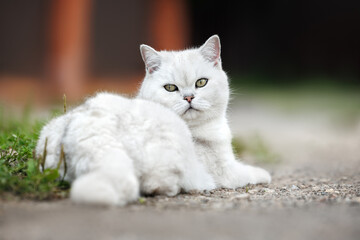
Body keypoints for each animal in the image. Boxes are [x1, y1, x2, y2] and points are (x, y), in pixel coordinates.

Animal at [138, 34, 270, 188]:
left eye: (201, 82)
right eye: (170, 87)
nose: (188, 97)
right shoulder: (226, 170)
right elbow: (249, 172)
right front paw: (264, 174)